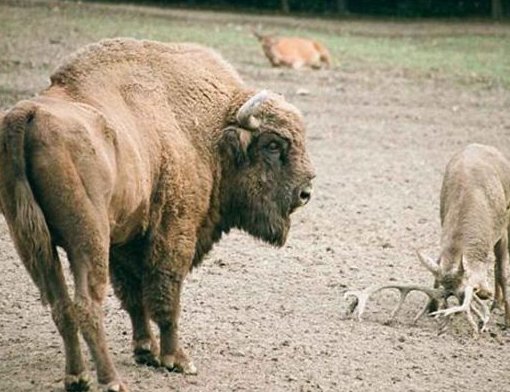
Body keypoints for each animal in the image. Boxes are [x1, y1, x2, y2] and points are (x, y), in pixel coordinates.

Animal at [0, 37, 314, 392]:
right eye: (273, 145)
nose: (305, 192)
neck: (210, 130)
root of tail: (28, 114)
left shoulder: (125, 242)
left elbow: (135, 298)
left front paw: (145, 351)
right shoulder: (174, 232)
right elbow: (166, 297)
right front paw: (177, 360)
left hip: (32, 243)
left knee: (61, 305)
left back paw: (77, 377)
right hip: (87, 240)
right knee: (86, 305)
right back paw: (111, 381)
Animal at [342, 144, 510, 334]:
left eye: (470, 289)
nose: (483, 293)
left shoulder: (502, 227)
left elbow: (502, 270)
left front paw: (507, 321)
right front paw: (433, 308)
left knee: (498, 265)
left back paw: (497, 304)